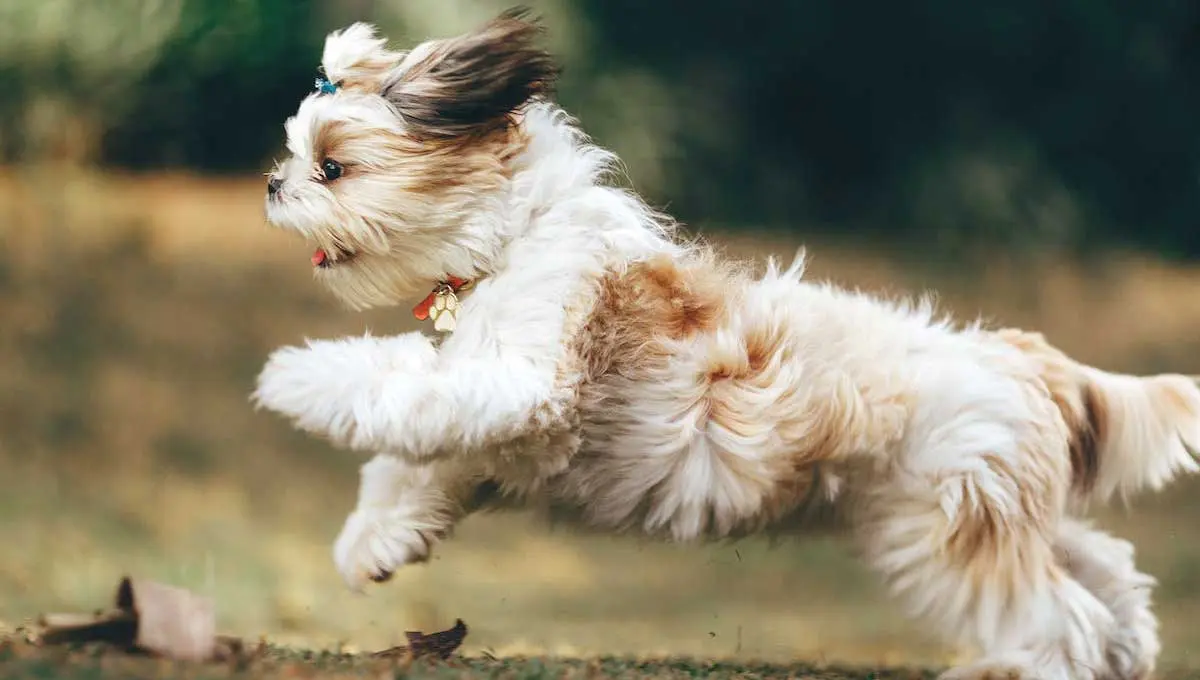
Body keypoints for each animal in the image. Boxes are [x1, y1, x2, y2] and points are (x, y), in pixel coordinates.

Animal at [253, 7, 1200, 676]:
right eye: (300, 157)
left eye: (333, 168)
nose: (272, 182)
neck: (512, 239)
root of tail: (1020, 356)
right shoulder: (493, 431)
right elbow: (409, 464)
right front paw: (374, 544)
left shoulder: (523, 380)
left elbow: (397, 382)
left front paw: (293, 376)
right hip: (986, 506)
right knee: (1102, 566)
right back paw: (1132, 644)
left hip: (949, 530)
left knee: (1056, 614)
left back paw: (1025, 665)